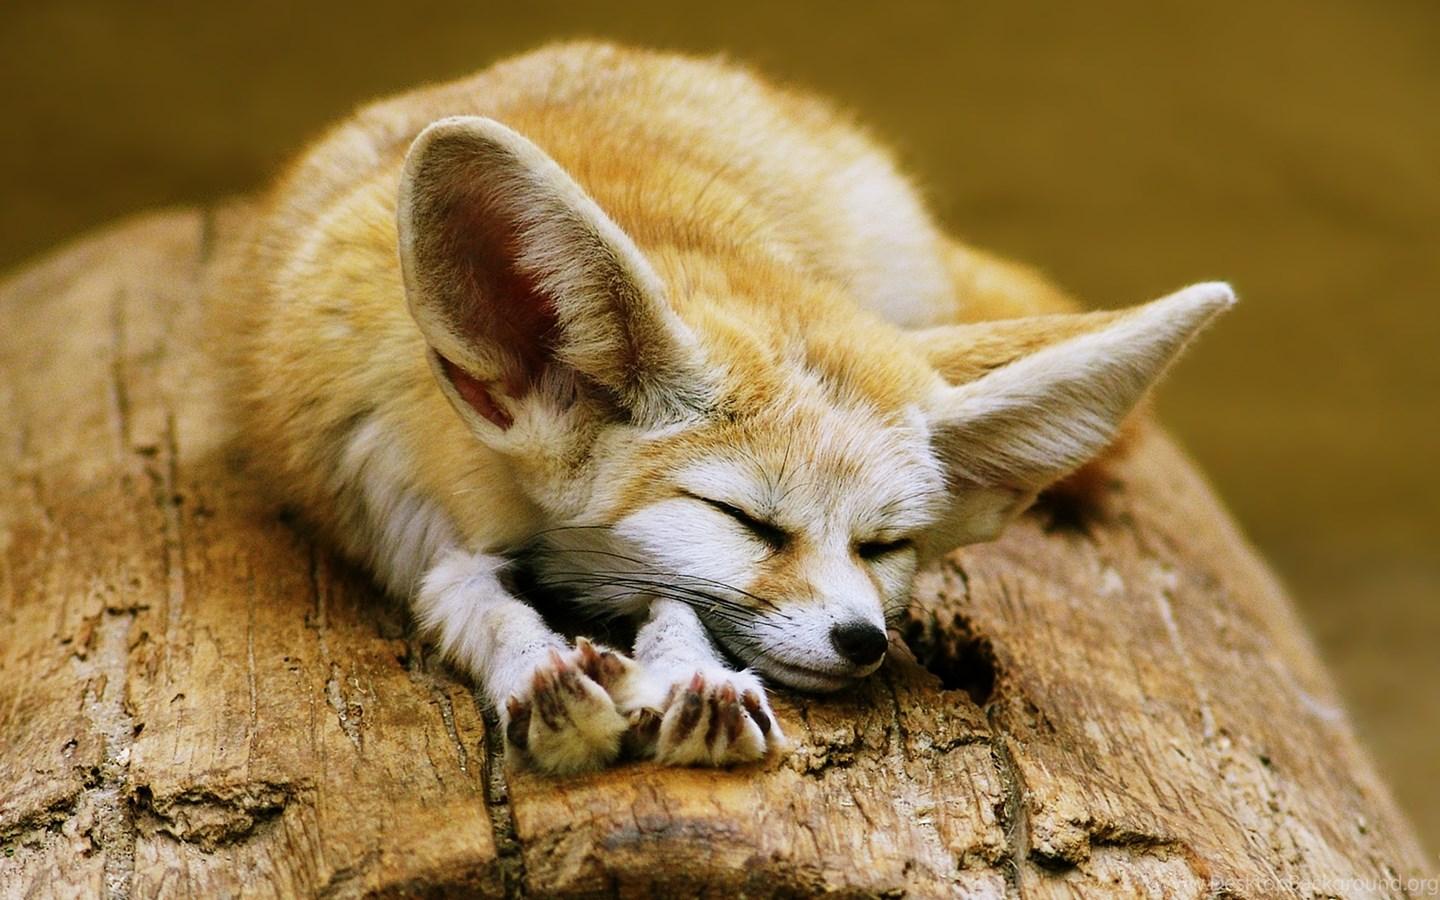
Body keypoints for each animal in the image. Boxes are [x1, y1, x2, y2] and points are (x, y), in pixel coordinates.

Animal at [220, 41, 1233, 774]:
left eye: (885, 546)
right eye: (745, 520)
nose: (863, 638)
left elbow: (681, 601)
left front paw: (693, 679)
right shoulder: (393, 506)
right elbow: (463, 594)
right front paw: (543, 676)